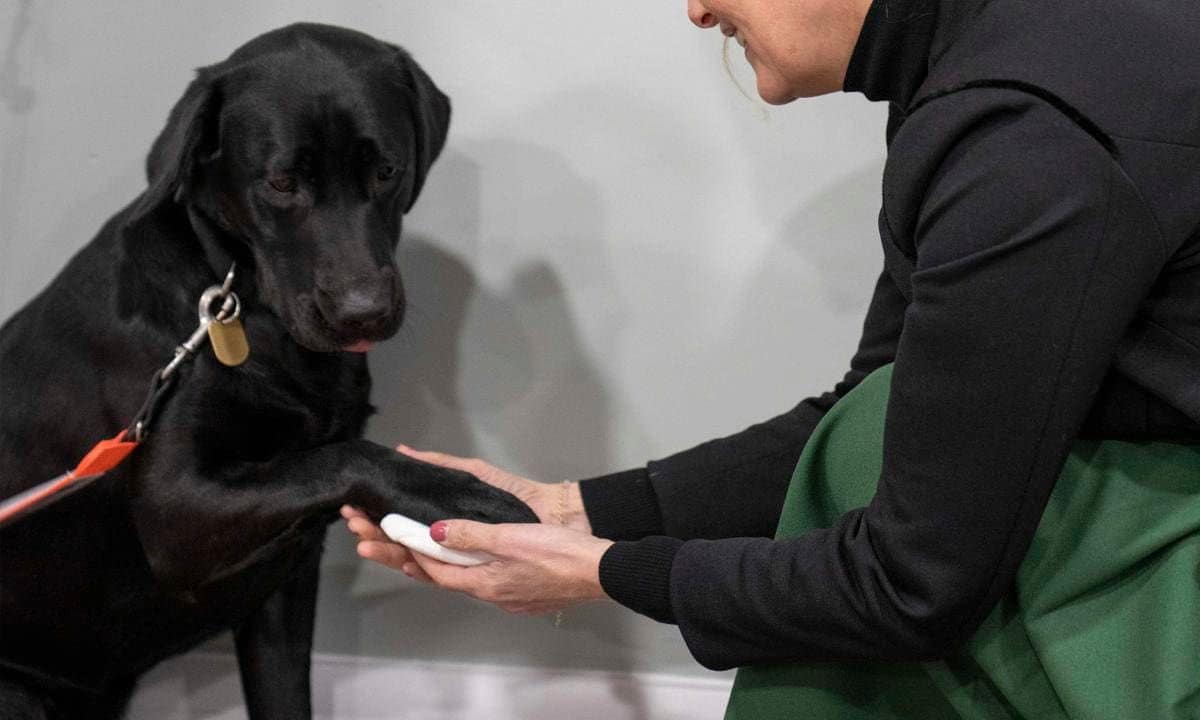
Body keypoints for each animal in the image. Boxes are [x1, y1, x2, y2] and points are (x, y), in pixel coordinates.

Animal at [0, 22, 535, 720]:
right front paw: (463, 493)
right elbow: (345, 454)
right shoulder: (174, 509)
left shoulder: (282, 587)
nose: (363, 314)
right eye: (281, 183)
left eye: (387, 171)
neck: (242, 307)